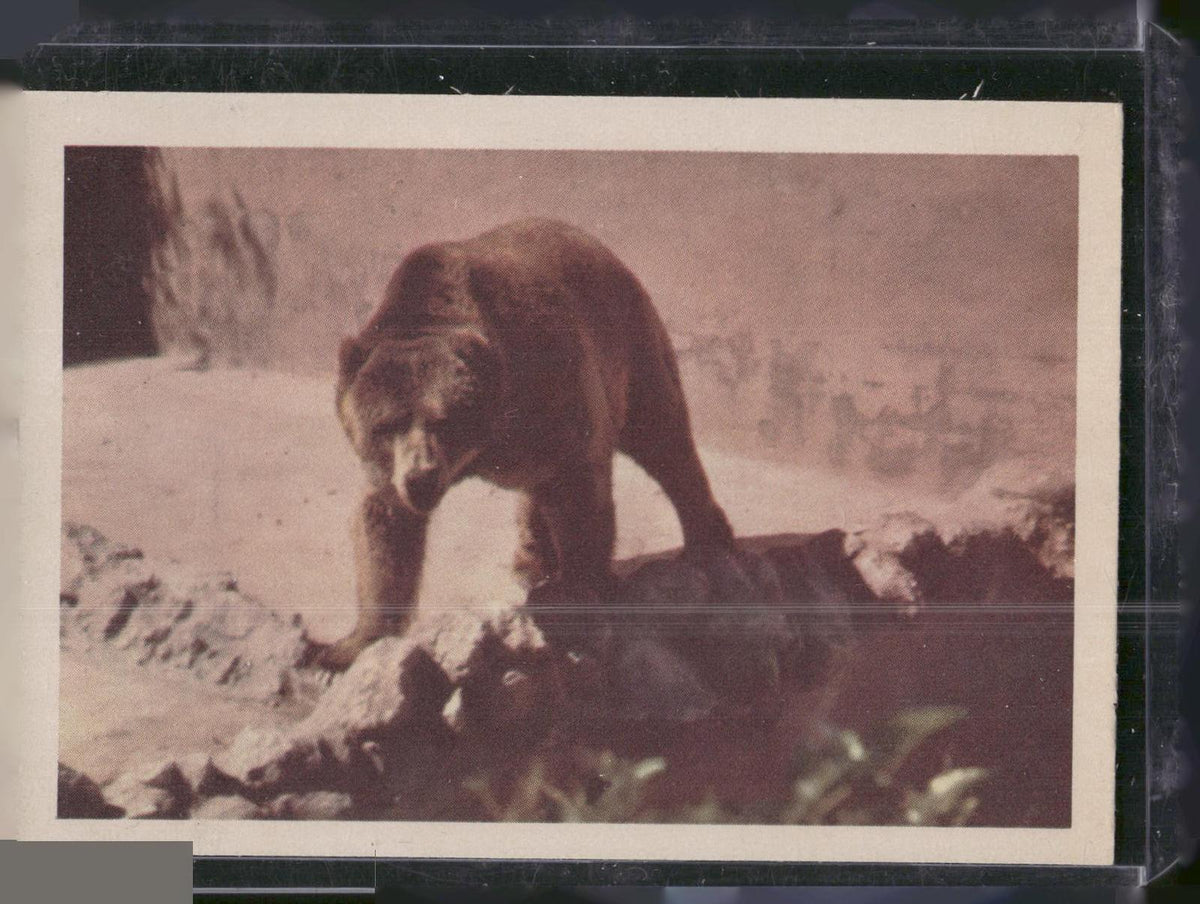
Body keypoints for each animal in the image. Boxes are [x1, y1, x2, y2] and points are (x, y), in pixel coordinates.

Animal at [317, 218, 736, 671]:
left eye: (444, 422)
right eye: (387, 424)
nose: (421, 477)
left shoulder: (549, 386)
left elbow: (578, 488)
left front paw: (580, 589)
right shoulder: (390, 466)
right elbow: (385, 527)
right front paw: (351, 643)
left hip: (629, 341)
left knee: (663, 436)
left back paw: (706, 537)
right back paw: (531, 558)